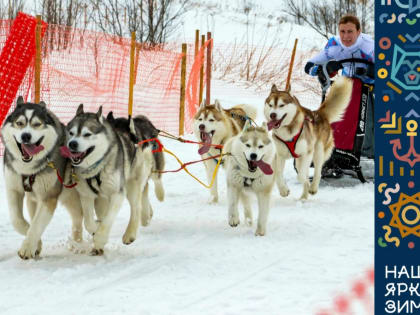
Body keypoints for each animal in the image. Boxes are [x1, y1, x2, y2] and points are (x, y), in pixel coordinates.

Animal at [1, 97, 83, 260]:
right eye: (19, 123)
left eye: (37, 124)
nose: (26, 136)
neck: (28, 168)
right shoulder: (13, 190)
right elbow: (18, 220)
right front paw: (36, 244)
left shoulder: (48, 197)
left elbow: (37, 224)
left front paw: (27, 247)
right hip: (35, 199)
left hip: (73, 198)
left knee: (80, 218)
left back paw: (79, 244)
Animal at [62, 105, 154, 256]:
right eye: (71, 133)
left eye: (87, 134)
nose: (72, 144)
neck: (97, 168)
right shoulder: (86, 195)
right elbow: (88, 221)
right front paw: (95, 229)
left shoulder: (117, 193)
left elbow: (108, 220)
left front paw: (100, 239)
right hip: (102, 199)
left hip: (133, 184)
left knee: (136, 207)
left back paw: (130, 234)